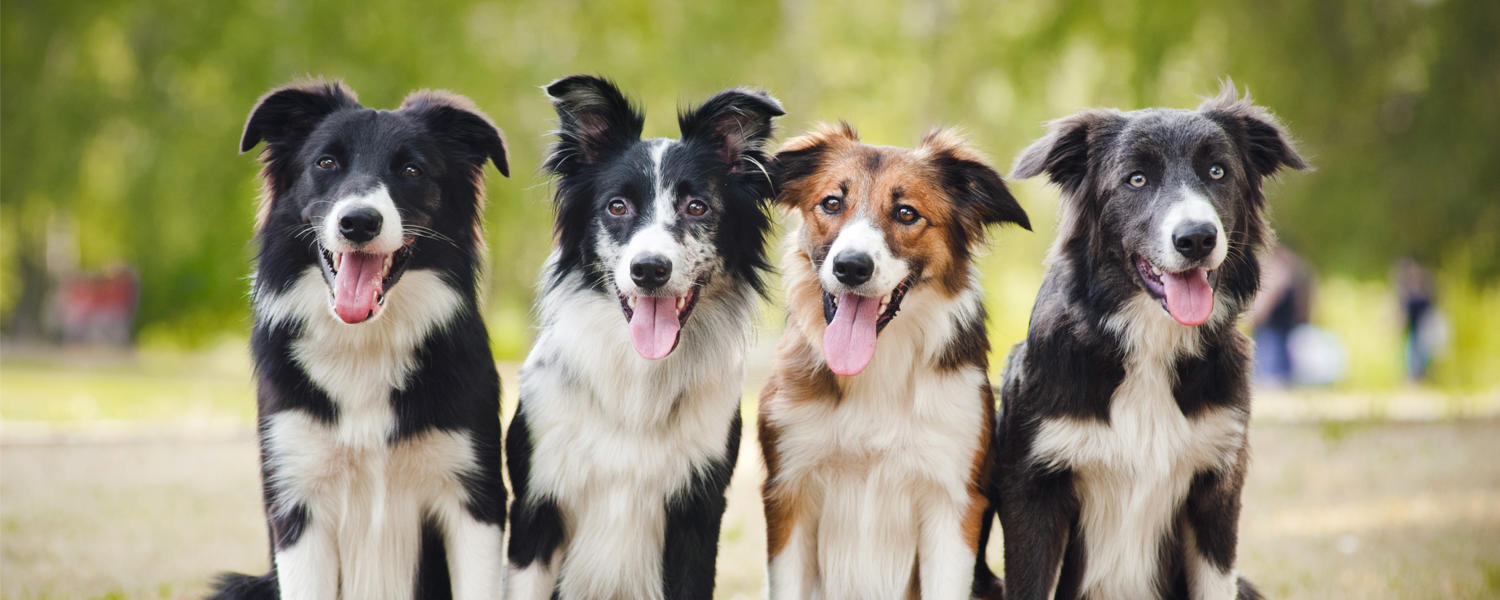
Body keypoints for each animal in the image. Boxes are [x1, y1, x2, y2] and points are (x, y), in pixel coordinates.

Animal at [214, 81, 513, 600]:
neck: (366, 344)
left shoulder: (473, 499)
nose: (358, 222)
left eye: (412, 170)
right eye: (326, 163)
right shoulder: (299, 504)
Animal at [507, 76, 786, 600]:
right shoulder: (535, 510)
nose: (650, 270)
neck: (637, 379)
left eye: (697, 207)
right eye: (617, 206)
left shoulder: (697, 514)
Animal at [762, 124, 1032, 597]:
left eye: (906, 214)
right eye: (831, 203)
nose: (851, 267)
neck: (876, 368)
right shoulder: (789, 495)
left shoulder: (952, 506)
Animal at [984, 84, 1302, 600]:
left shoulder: (1216, 492)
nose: (1197, 238)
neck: (1149, 344)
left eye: (1218, 171)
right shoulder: (1033, 491)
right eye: (1136, 180)